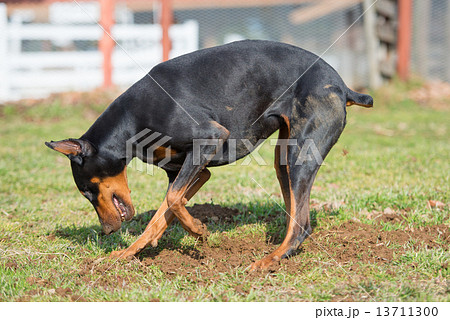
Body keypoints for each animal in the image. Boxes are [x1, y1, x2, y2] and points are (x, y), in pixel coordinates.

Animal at [45, 40, 372, 270]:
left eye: (87, 191)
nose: (107, 231)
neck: (132, 119)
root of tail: (342, 86)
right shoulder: (190, 170)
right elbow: (164, 211)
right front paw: (129, 251)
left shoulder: (209, 138)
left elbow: (173, 199)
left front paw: (198, 231)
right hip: (284, 157)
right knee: (297, 212)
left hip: (300, 154)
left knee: (302, 224)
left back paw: (270, 260)